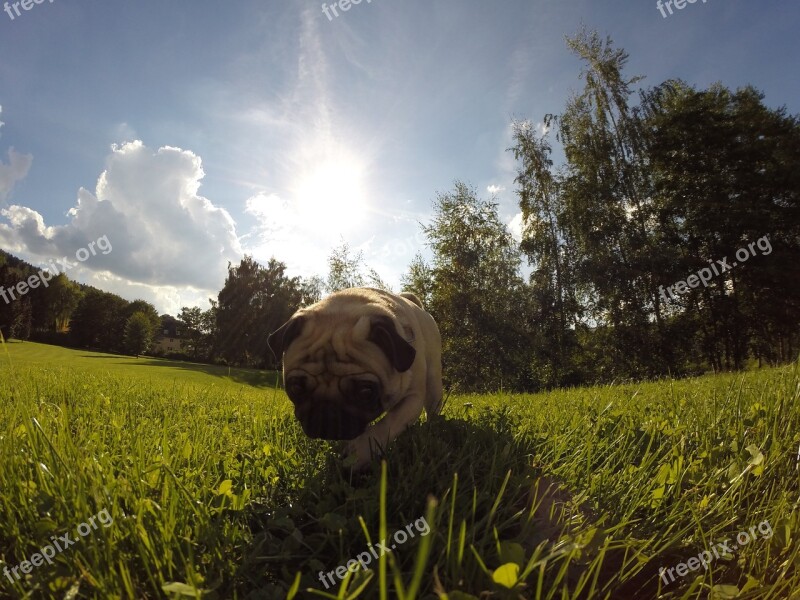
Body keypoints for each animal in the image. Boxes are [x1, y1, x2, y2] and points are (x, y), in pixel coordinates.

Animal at [268, 286, 444, 468]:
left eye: (365, 392)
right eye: (296, 388)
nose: (329, 413)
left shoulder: (412, 398)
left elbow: (388, 424)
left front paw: (360, 452)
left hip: (433, 380)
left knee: (433, 405)